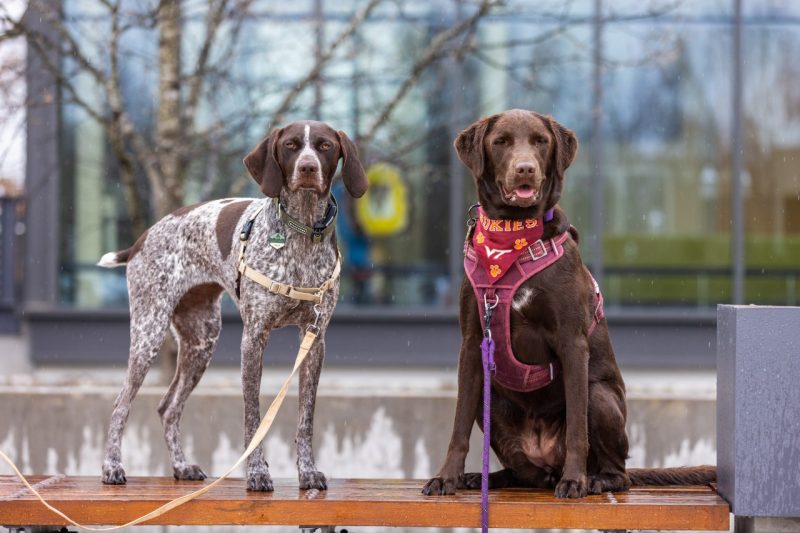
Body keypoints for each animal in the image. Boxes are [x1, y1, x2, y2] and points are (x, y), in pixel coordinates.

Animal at [97, 119, 368, 490]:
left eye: (325, 146)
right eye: (291, 145)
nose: (308, 168)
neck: (301, 233)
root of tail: (141, 239)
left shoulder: (314, 340)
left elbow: (306, 417)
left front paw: (308, 472)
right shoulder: (254, 337)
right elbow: (253, 414)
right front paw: (256, 472)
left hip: (201, 340)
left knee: (168, 408)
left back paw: (181, 467)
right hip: (148, 334)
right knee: (120, 404)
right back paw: (112, 467)